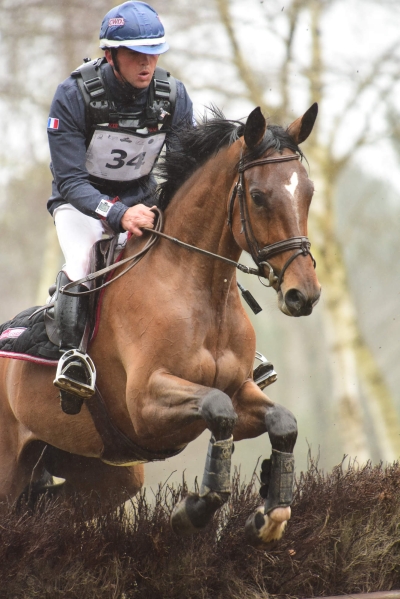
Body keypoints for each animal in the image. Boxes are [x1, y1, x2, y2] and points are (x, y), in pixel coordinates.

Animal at [0, 104, 320, 548]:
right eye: (257, 197)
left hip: (102, 472)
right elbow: (218, 410)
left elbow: (282, 422)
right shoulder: (146, 405)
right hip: (9, 467)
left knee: (46, 508)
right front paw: (193, 511)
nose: (303, 295)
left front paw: (270, 512)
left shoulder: (240, 390)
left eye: (308, 193)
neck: (199, 290)